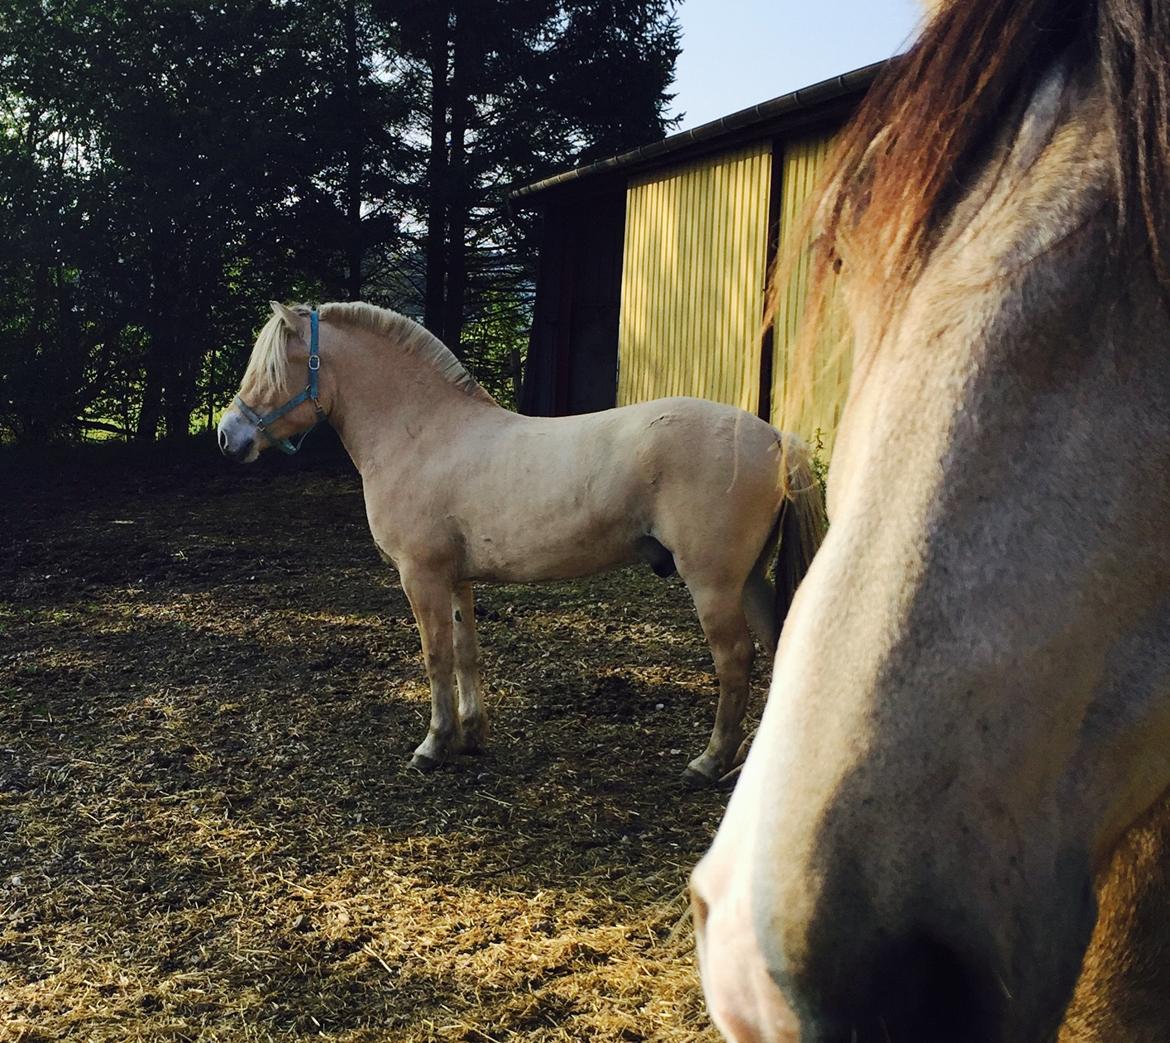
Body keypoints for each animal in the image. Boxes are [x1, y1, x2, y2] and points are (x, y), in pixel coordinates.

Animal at [217, 299, 823, 781]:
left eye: (278, 366)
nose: (227, 436)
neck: (423, 434)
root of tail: (774, 436)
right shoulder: (456, 580)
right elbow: (466, 653)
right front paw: (470, 734)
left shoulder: (422, 575)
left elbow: (436, 656)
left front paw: (432, 745)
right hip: (749, 577)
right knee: (778, 645)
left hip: (714, 583)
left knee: (736, 659)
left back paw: (708, 763)